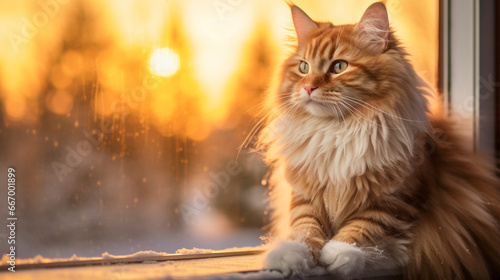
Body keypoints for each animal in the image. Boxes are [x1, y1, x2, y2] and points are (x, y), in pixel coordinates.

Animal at [258, 2, 500, 280]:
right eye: (304, 68)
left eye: (339, 67)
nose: (308, 87)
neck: (339, 131)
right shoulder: (305, 194)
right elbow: (304, 227)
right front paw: (290, 256)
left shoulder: (397, 199)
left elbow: (364, 226)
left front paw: (341, 254)